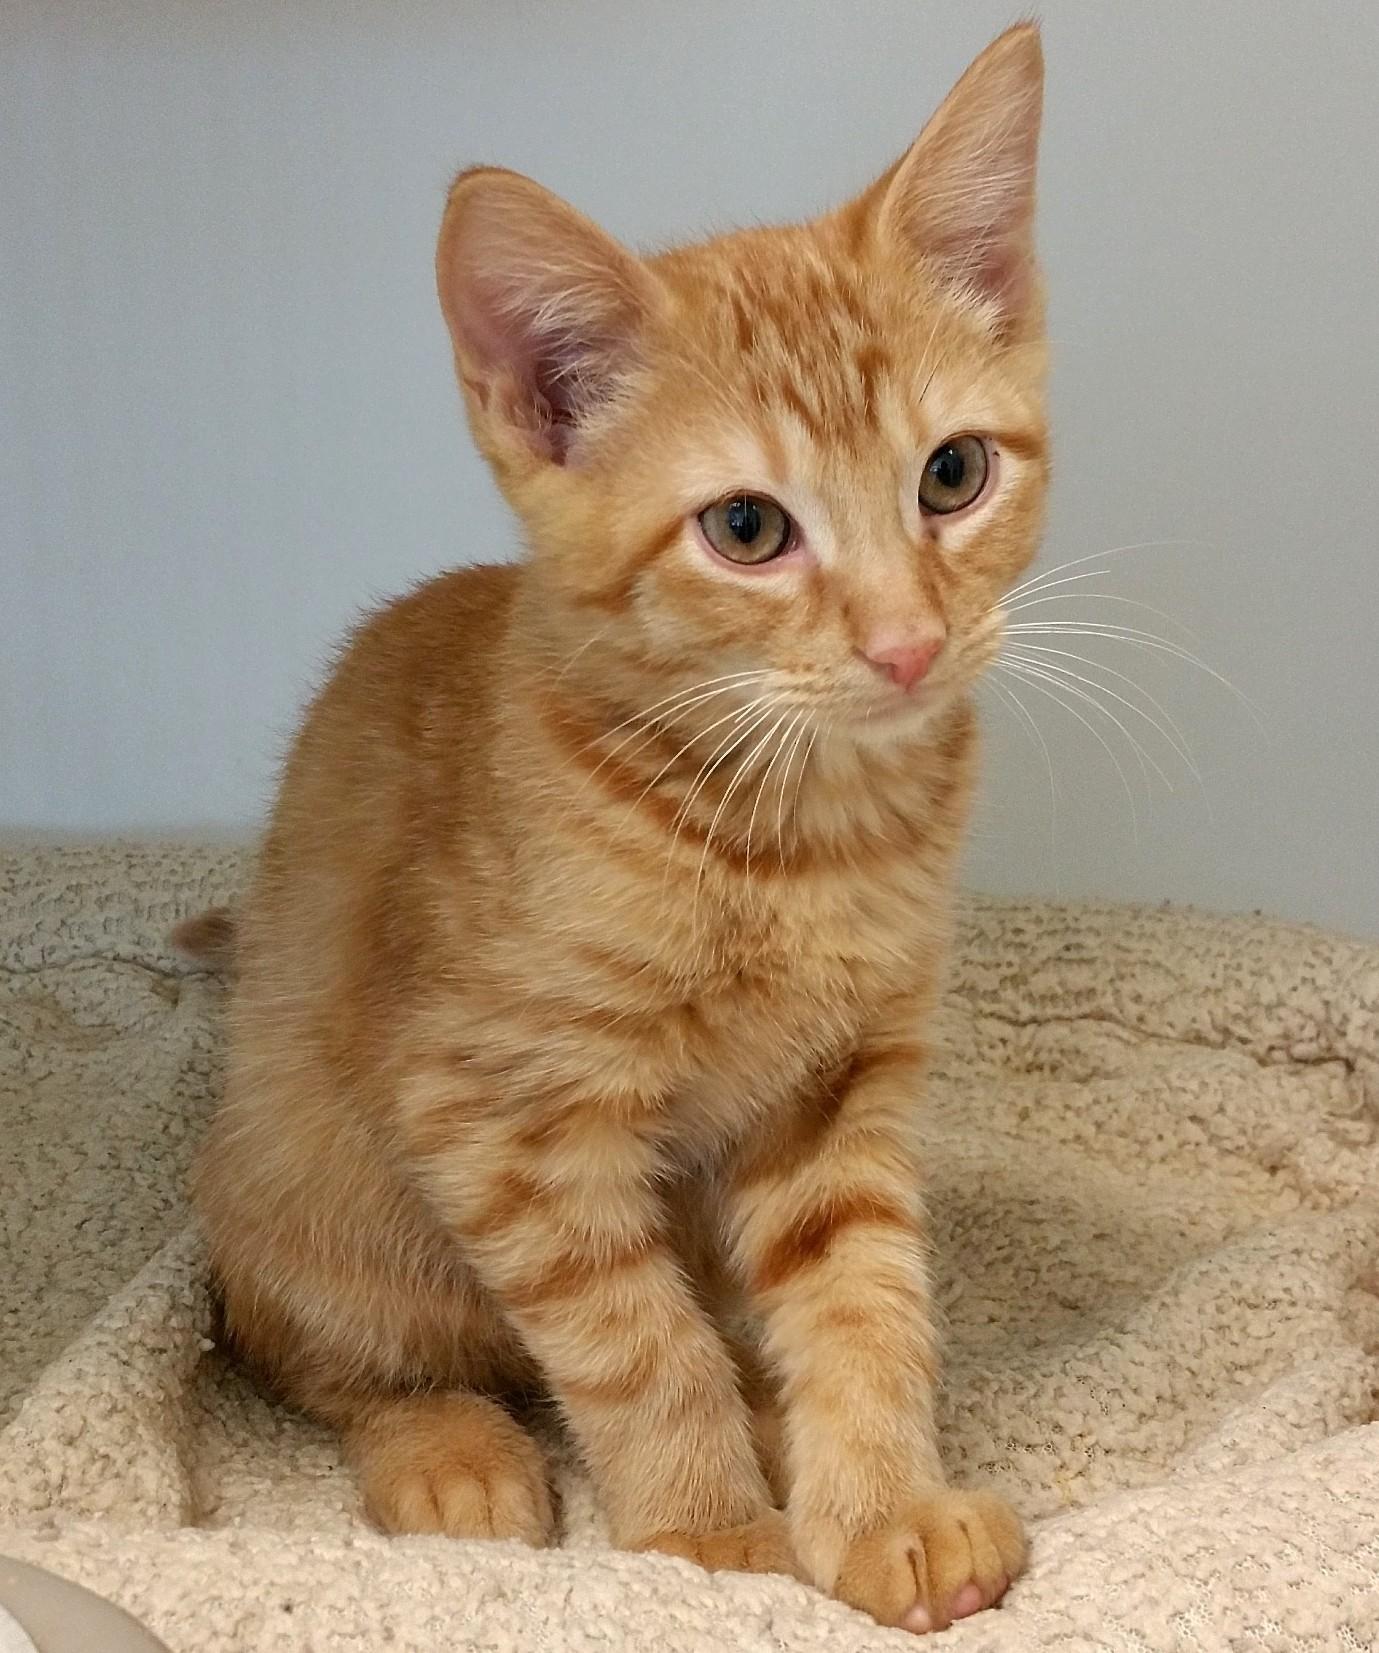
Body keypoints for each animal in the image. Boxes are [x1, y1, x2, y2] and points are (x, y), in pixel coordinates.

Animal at [190, 25, 1044, 1639]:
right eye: (747, 530)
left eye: (952, 475)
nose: (908, 646)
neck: (794, 834)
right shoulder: (499, 1110)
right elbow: (634, 1341)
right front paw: (708, 1531)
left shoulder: (840, 1086)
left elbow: (862, 1298)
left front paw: (877, 1499)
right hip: (318, 1195)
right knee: (317, 1357)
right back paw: (445, 1444)